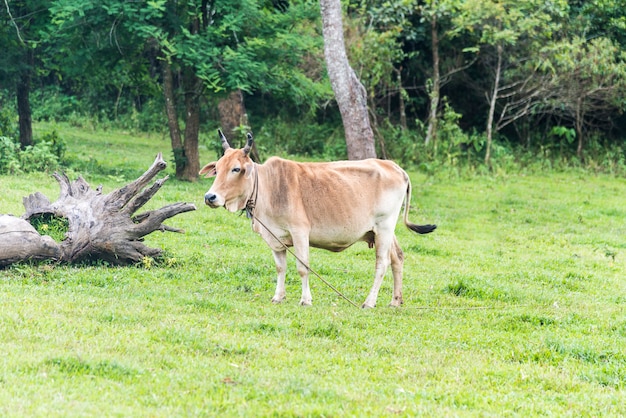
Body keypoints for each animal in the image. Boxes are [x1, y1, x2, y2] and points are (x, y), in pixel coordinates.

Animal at [200, 131, 434, 306]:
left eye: (236, 169)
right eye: (217, 169)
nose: (210, 197)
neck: (268, 186)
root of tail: (396, 167)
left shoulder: (300, 231)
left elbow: (302, 267)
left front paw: (306, 299)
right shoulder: (275, 237)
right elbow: (280, 267)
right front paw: (278, 296)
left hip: (384, 227)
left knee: (382, 263)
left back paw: (369, 302)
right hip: (382, 230)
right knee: (398, 258)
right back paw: (395, 301)